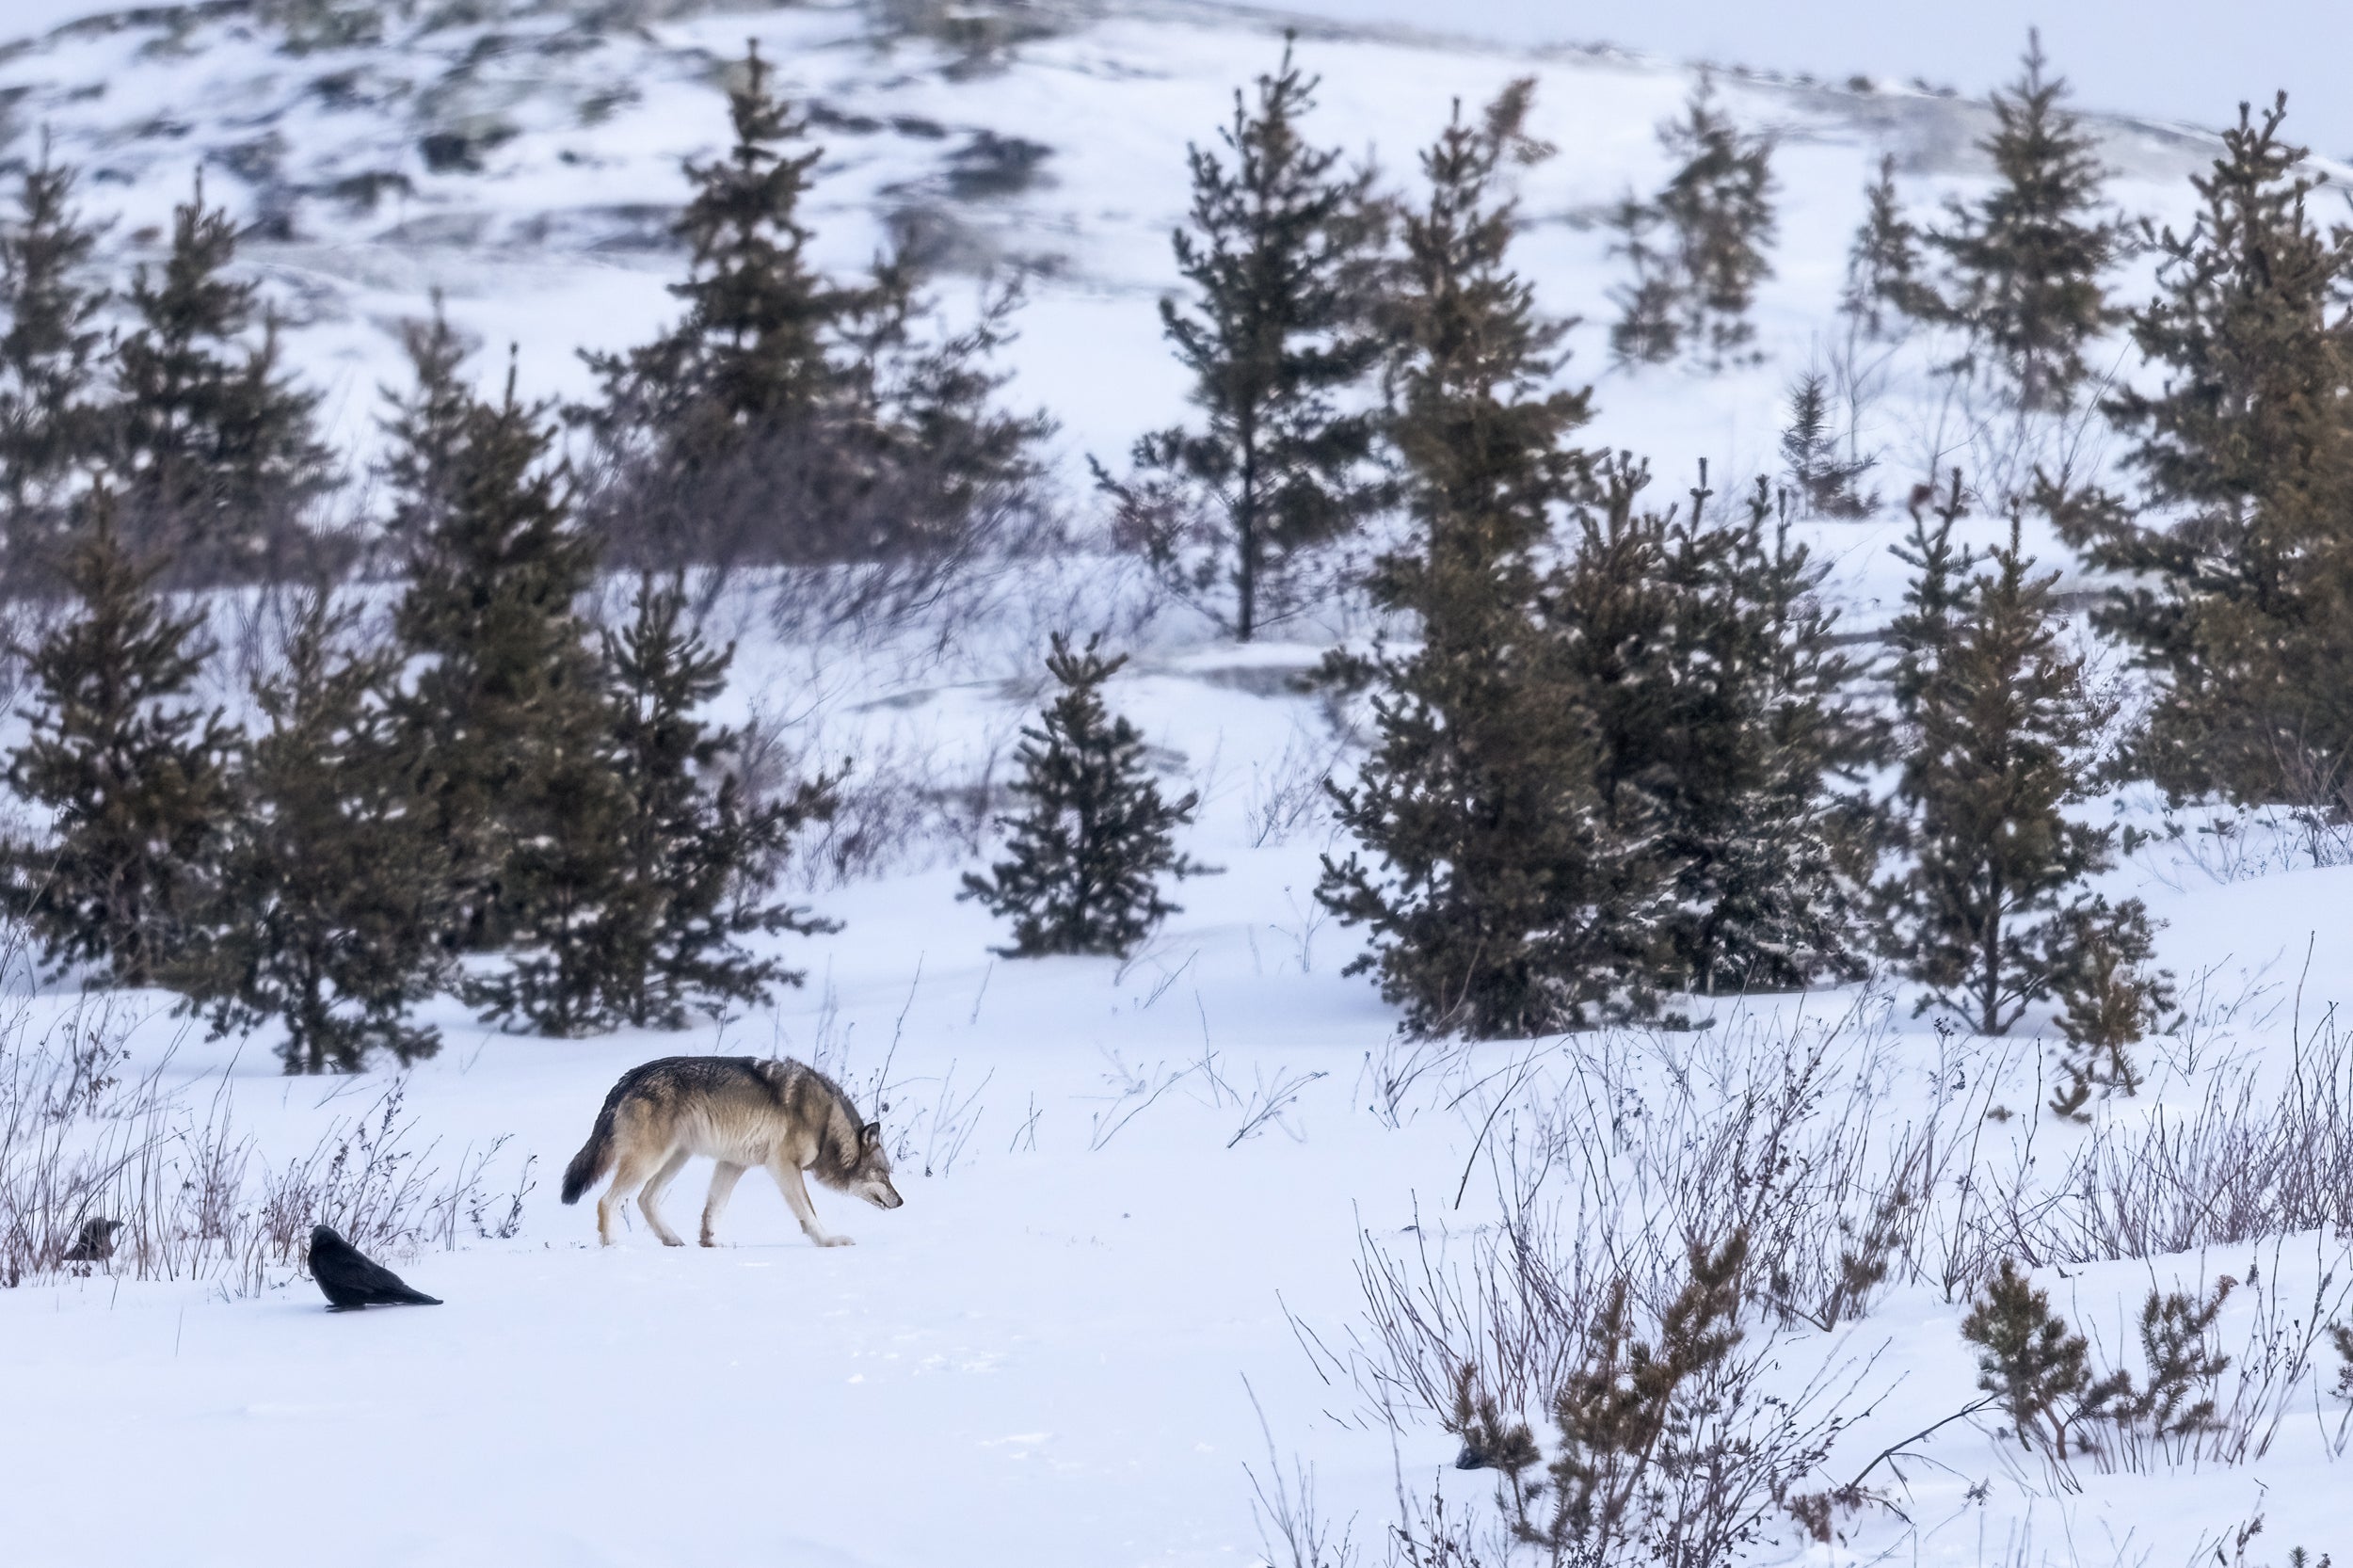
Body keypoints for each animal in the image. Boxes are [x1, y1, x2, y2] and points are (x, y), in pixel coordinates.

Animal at [560, 1056, 904, 1248]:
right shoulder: (783, 1166)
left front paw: (710, 1243)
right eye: (883, 1173)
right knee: (607, 1201)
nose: (901, 1202)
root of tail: (628, 1078)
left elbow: (714, 1209)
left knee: (645, 1199)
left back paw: (673, 1240)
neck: (824, 1123)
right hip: (650, 1160)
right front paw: (830, 1242)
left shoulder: (732, 1163)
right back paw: (613, 1248)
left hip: (675, 1158)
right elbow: (809, 1213)